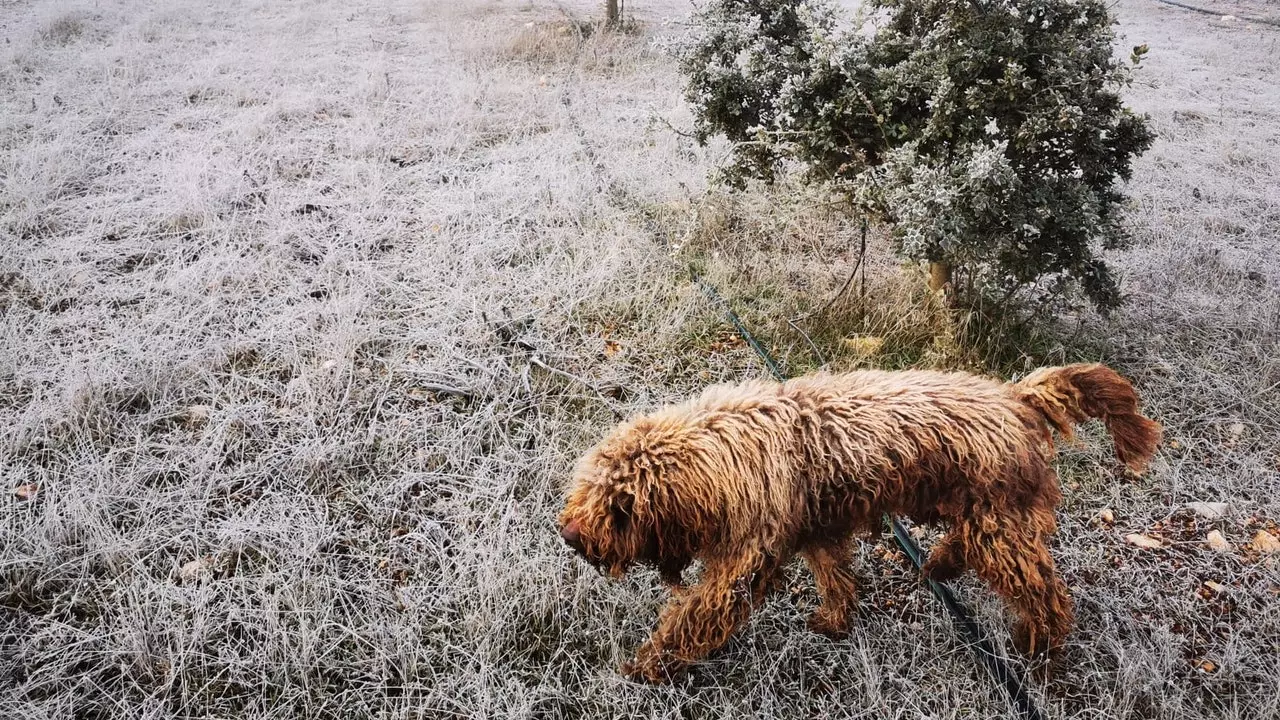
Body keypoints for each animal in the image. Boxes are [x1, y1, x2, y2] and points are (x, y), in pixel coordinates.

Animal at [558, 361, 1162, 681]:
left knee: (1043, 590)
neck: (730, 453)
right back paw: (941, 564)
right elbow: (835, 576)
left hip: (998, 524)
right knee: (974, 550)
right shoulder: (815, 530)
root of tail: (1018, 398)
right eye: (589, 486)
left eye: (620, 507)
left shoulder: (745, 561)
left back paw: (1038, 644)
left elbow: (695, 616)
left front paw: (648, 664)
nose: (569, 536)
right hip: (986, 516)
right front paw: (836, 620)